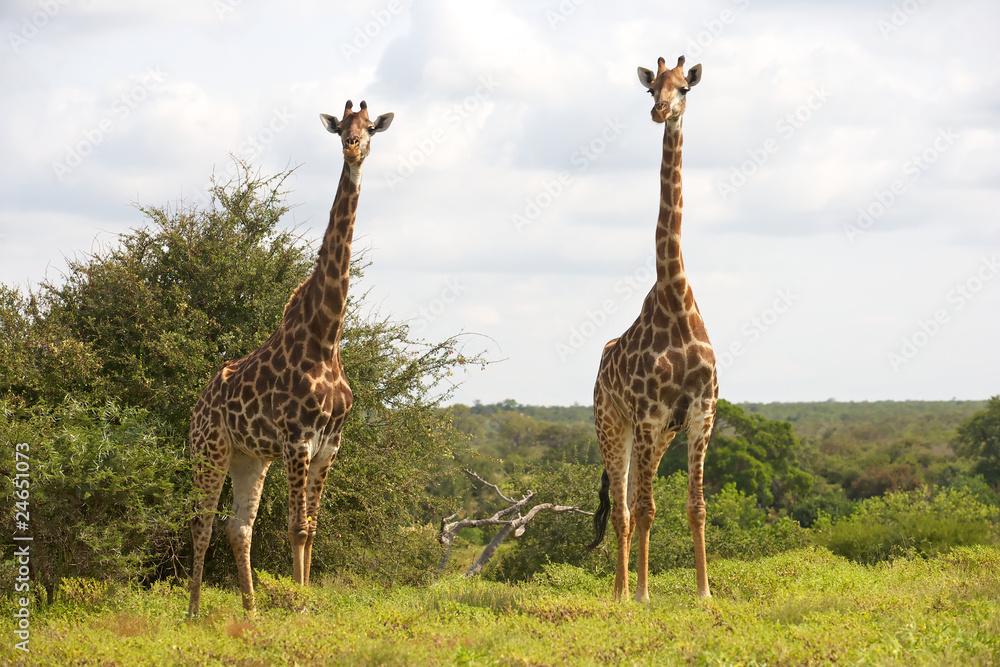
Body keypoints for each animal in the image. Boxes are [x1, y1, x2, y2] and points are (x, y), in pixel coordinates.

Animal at [186, 100, 393, 616]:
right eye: (341, 129)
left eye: (371, 129)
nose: (352, 148)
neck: (326, 339)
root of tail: (196, 406)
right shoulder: (297, 441)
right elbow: (296, 528)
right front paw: (299, 605)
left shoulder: (329, 446)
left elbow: (311, 529)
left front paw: (302, 598)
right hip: (209, 449)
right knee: (201, 523)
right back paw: (193, 610)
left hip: (248, 458)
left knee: (238, 526)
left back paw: (251, 609)